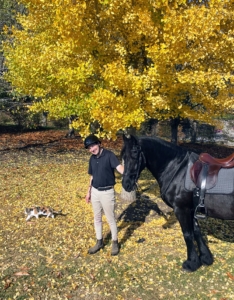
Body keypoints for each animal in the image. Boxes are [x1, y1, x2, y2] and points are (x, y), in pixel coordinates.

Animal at [121, 135, 234, 274]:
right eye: (123, 156)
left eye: (135, 153)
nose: (126, 184)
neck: (177, 170)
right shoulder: (191, 210)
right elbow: (196, 231)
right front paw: (205, 257)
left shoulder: (181, 209)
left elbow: (187, 234)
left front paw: (191, 263)